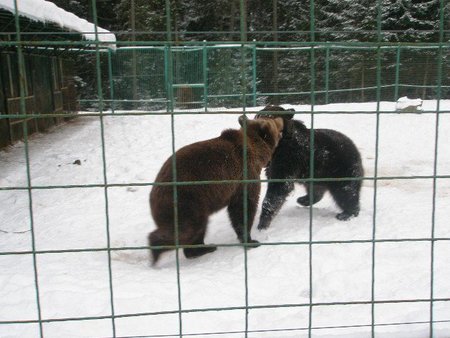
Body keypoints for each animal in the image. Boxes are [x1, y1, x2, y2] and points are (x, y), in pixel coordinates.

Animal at [149, 115, 282, 266]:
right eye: (273, 121)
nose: (281, 119)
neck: (257, 152)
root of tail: (153, 195)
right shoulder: (245, 176)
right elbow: (243, 207)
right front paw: (251, 240)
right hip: (186, 200)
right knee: (188, 228)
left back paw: (202, 248)